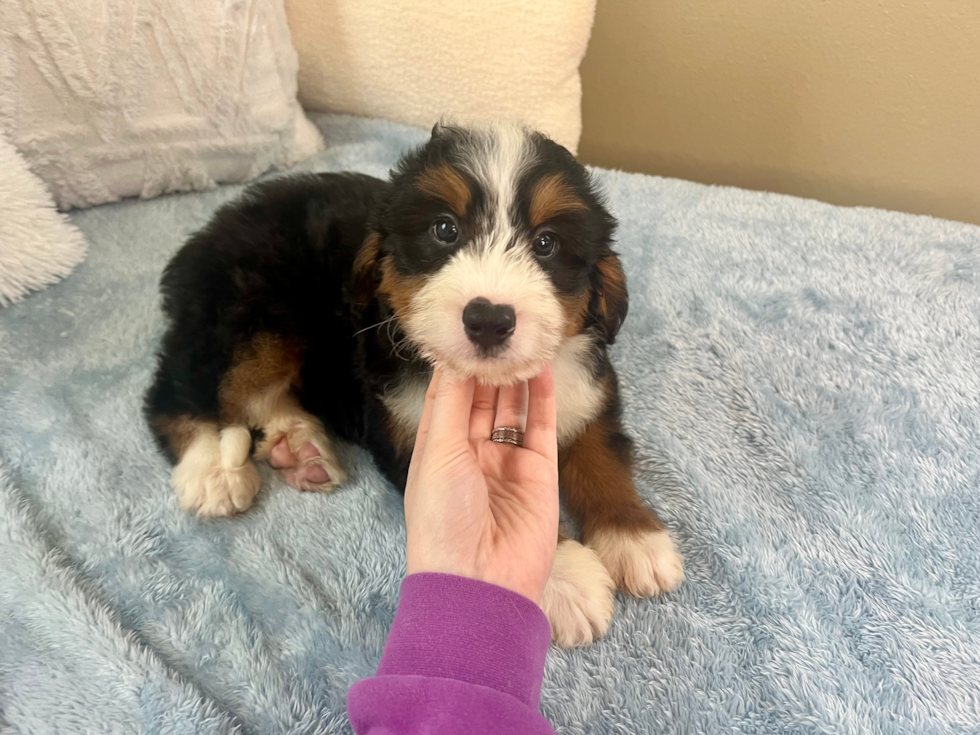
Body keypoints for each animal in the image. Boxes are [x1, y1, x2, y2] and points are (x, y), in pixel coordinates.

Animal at [145, 123, 684, 648]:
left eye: (546, 243)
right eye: (444, 229)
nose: (489, 319)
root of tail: (211, 230)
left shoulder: (588, 391)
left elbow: (601, 456)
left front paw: (634, 538)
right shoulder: (407, 427)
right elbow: (499, 514)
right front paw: (565, 580)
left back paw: (299, 449)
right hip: (251, 311)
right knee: (179, 390)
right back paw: (213, 469)